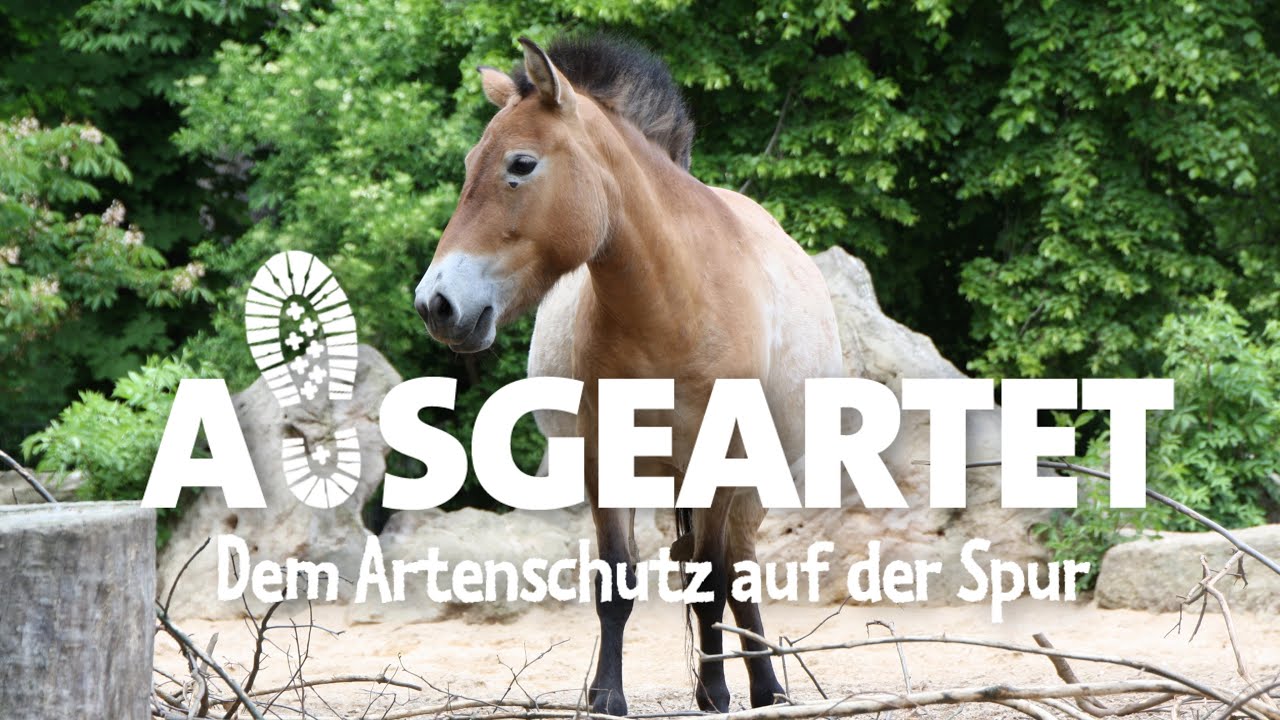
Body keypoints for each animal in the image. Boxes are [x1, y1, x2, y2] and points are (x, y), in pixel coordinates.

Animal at [415, 35, 844, 715]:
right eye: (468, 163)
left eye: (521, 164)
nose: (437, 305)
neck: (674, 306)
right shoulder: (606, 461)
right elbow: (618, 582)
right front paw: (607, 695)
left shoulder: (724, 462)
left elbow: (715, 579)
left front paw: (718, 691)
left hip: (750, 479)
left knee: (738, 570)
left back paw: (764, 687)